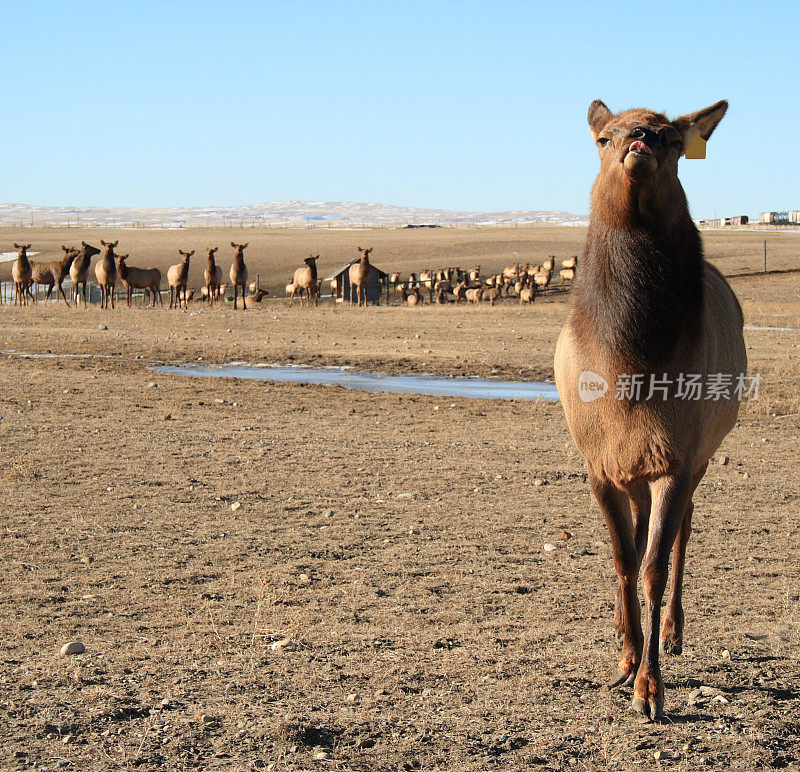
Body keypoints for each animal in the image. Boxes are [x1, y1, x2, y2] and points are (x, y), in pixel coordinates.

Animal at [552, 99, 748, 720]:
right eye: (603, 136)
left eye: (670, 137)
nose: (639, 137)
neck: (631, 366)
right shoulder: (599, 463)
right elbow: (622, 559)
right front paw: (623, 659)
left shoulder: (677, 457)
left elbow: (654, 568)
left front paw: (650, 688)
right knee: (637, 540)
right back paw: (628, 634)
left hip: (702, 454)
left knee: (683, 530)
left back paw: (671, 632)